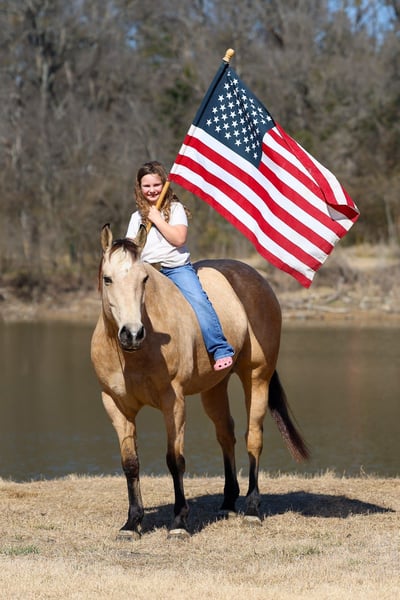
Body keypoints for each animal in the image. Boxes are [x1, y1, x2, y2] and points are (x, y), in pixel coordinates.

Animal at [91, 223, 309, 539]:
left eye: (144, 279)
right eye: (107, 279)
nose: (132, 333)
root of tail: (255, 278)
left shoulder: (173, 401)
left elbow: (175, 460)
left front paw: (179, 523)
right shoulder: (116, 404)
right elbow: (130, 463)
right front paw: (132, 523)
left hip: (257, 377)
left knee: (253, 438)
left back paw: (252, 509)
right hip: (214, 388)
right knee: (226, 435)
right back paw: (228, 502)